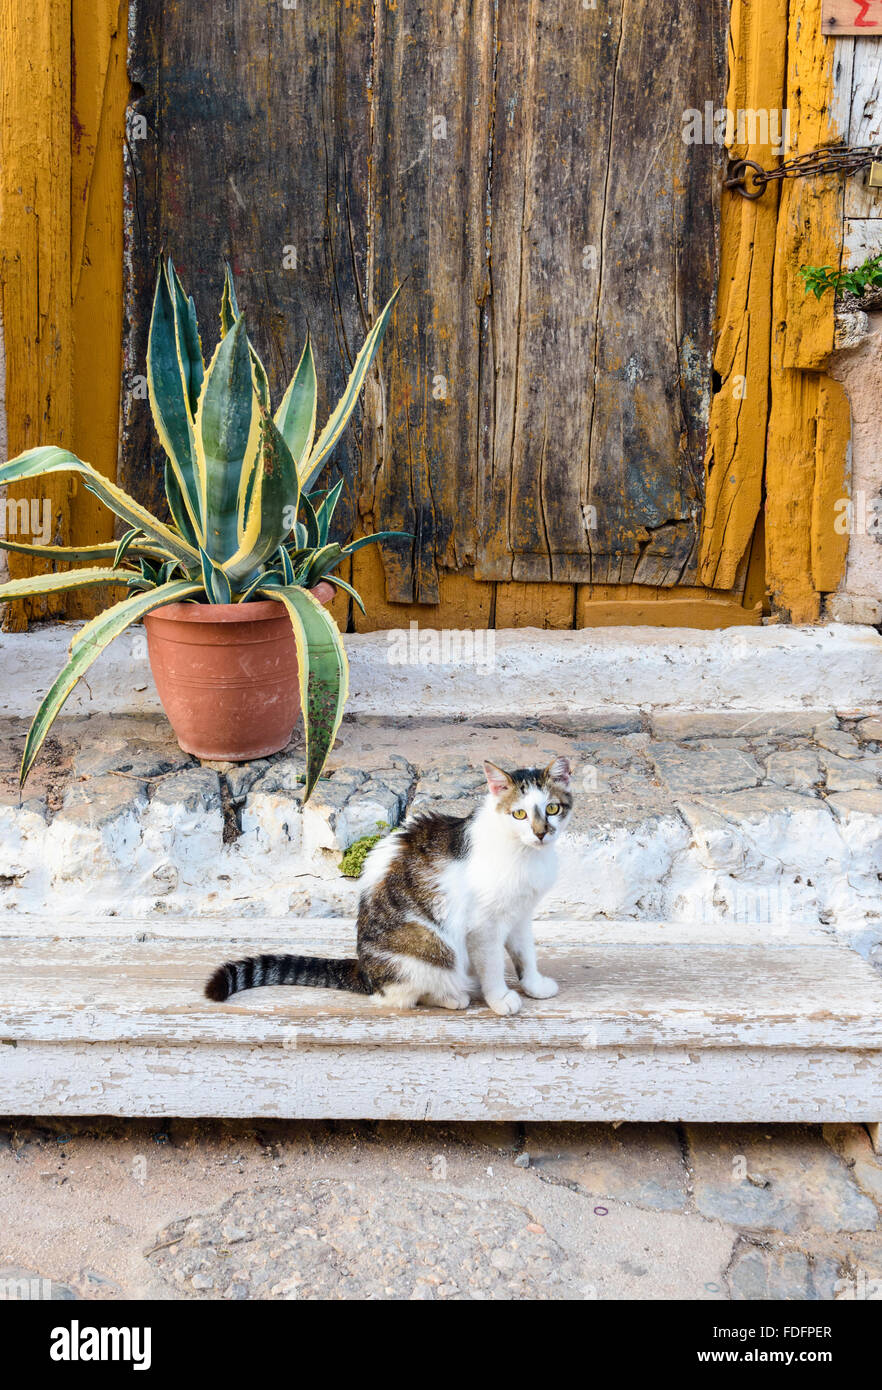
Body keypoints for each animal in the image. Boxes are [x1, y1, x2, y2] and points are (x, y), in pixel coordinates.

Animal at [208, 756, 580, 1017]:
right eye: (519, 815)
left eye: (552, 808)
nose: (541, 833)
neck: (525, 854)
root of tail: (365, 970)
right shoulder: (484, 927)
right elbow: (492, 966)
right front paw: (500, 998)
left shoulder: (520, 915)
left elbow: (524, 953)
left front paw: (533, 985)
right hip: (431, 945)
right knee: (400, 995)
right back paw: (452, 996)